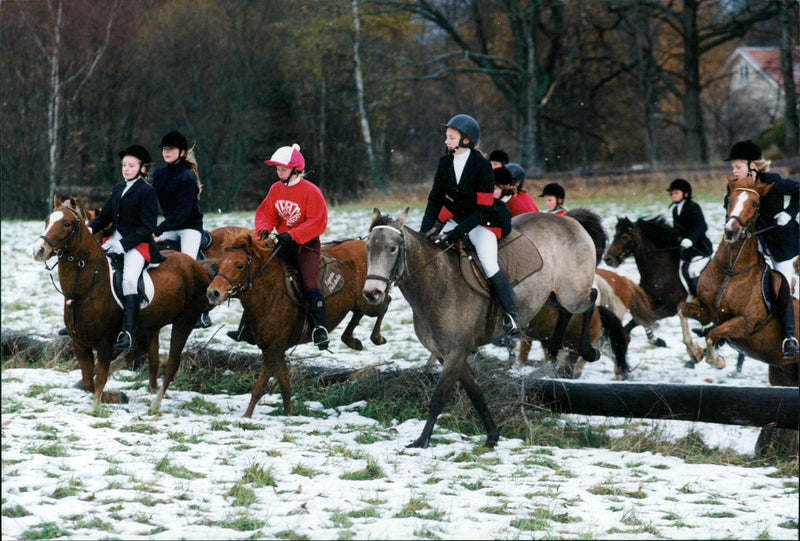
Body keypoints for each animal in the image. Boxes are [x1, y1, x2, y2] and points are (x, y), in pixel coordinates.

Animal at [31, 196, 216, 408]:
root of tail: (196, 265)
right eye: (47, 220)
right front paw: (113, 396)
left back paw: (155, 405)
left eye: (67, 224)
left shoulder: (105, 343)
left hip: (184, 321)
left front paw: (98, 404)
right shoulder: (79, 344)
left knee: (171, 362)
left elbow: (99, 379)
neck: (86, 288)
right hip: (149, 325)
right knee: (141, 351)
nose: (39, 250)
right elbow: (88, 381)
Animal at [205, 230, 390, 416]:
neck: (271, 291)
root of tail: (364, 244)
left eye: (239, 265)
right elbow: (285, 385)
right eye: (219, 264)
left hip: (370, 300)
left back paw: (376, 337)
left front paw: (247, 417)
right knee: (359, 313)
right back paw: (351, 340)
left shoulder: (273, 349)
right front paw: (288, 415)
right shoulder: (274, 349)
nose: (213, 293)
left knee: (385, 302)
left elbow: (260, 387)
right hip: (360, 303)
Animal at [364, 207, 608, 448]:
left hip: (572, 293)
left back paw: (588, 350)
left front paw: (422, 441)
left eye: (392, 248)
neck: (437, 283)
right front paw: (492, 436)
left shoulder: (455, 353)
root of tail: (568, 220)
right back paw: (556, 345)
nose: (371, 292)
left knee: (591, 301)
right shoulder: (447, 354)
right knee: (567, 311)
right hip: (551, 296)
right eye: (367, 248)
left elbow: (439, 398)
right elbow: (476, 394)